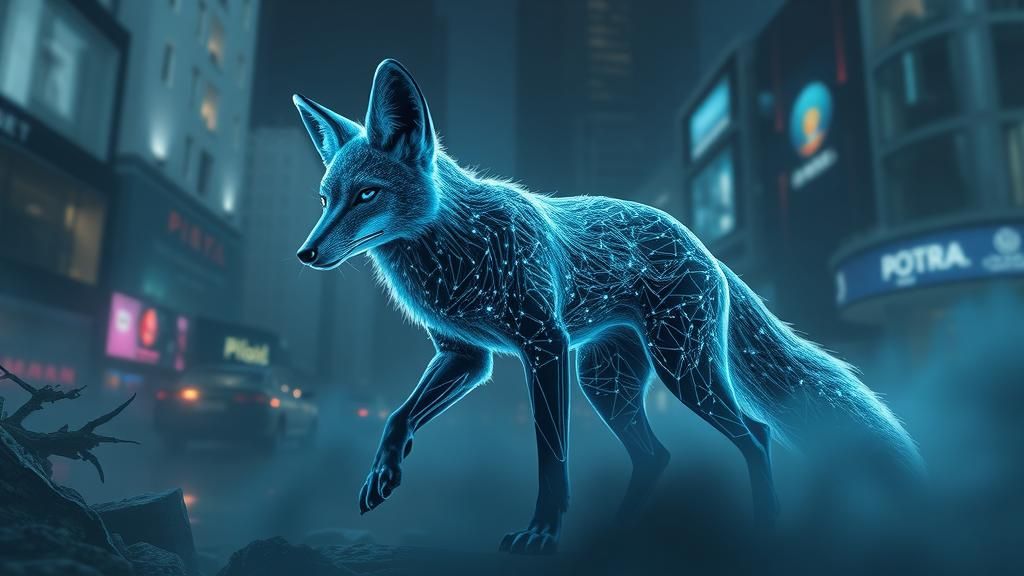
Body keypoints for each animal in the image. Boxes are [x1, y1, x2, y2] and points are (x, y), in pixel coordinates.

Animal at [291, 59, 921, 555]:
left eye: (366, 194)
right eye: (324, 199)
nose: (306, 253)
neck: (452, 250)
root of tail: (706, 249)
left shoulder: (542, 347)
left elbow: (551, 459)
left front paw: (542, 534)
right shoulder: (468, 357)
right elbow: (398, 417)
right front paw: (383, 471)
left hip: (681, 373)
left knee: (756, 435)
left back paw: (764, 529)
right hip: (608, 384)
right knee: (656, 457)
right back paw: (616, 538)